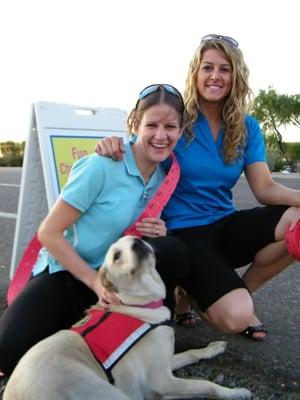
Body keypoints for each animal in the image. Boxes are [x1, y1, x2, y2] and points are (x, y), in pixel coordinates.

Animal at [3, 238, 252, 400]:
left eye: (137, 239)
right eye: (116, 256)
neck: (139, 304)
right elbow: (206, 385)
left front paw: (213, 348)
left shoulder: (164, 366)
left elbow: (191, 353)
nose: (138, 243)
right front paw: (235, 392)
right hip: (107, 392)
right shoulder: (160, 381)